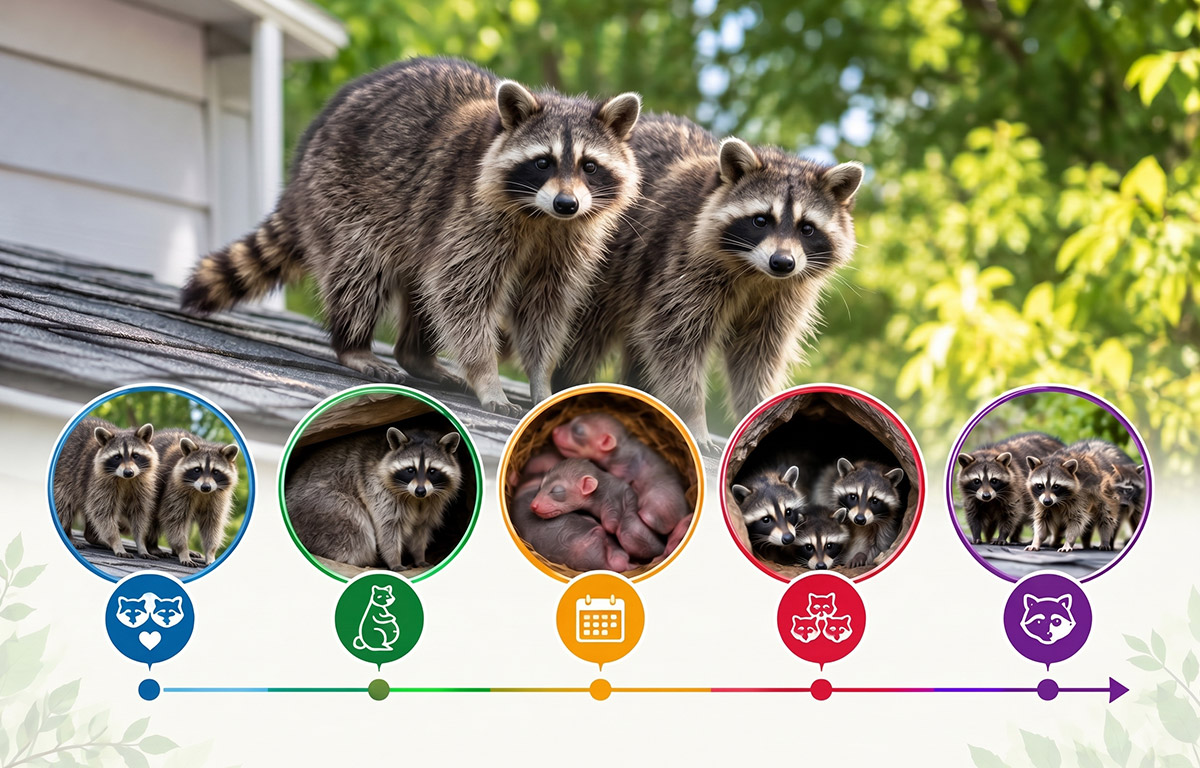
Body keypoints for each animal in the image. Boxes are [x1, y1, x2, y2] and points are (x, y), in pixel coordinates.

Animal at [53, 418, 158, 558]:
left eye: (135, 455)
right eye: (117, 457)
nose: (128, 472)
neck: (125, 480)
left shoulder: (141, 484)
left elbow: (139, 513)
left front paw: (141, 543)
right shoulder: (98, 480)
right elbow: (103, 513)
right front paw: (116, 542)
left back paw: (92, 536)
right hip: (64, 476)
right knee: (64, 503)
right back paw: (67, 534)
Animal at [146, 429, 240, 567]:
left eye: (215, 472)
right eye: (197, 470)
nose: (206, 487)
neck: (201, 493)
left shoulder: (218, 498)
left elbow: (212, 525)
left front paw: (210, 553)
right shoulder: (174, 490)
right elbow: (175, 520)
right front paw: (183, 550)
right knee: (153, 518)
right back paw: (152, 545)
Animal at [182, 57, 641, 414]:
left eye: (589, 166)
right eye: (543, 162)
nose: (566, 203)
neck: (542, 218)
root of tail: (300, 170)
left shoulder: (570, 240)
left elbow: (544, 306)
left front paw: (541, 381)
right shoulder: (471, 213)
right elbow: (463, 295)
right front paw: (487, 376)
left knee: (424, 286)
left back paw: (416, 355)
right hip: (342, 195)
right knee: (362, 269)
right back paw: (354, 345)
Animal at [286, 426, 463, 569]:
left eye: (432, 471)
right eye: (410, 470)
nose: (420, 491)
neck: (416, 498)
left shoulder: (432, 500)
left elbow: (421, 528)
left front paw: (420, 556)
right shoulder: (377, 487)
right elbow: (387, 527)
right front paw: (394, 560)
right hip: (322, 507)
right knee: (355, 529)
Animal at [554, 114, 862, 442]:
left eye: (807, 228)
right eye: (761, 220)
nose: (782, 263)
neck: (757, 274)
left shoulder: (784, 296)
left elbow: (758, 355)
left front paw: (759, 406)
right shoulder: (683, 259)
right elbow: (673, 338)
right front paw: (691, 414)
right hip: (602, 272)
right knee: (587, 336)